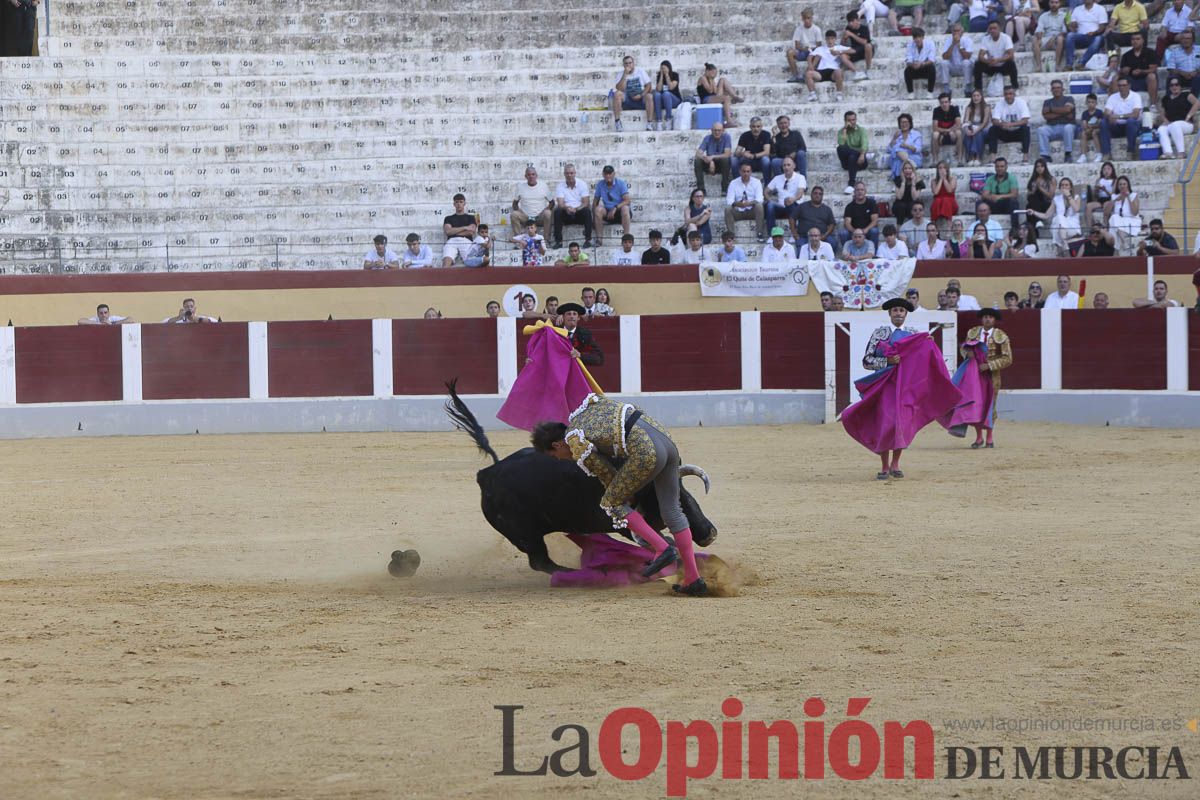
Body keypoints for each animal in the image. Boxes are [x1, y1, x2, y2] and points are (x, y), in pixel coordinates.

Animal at [446, 383, 715, 575]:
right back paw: (576, 573)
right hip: (524, 535)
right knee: (541, 562)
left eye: (688, 499)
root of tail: (487, 474)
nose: (708, 533)